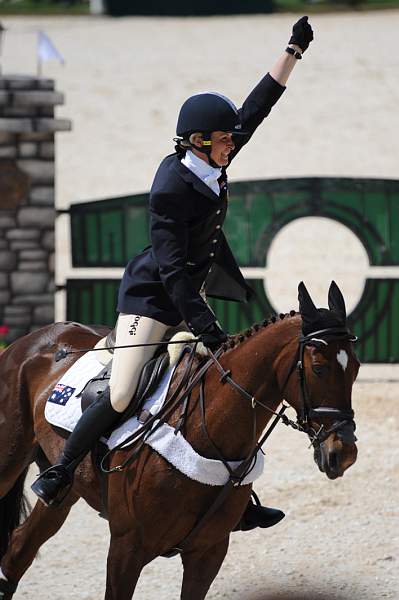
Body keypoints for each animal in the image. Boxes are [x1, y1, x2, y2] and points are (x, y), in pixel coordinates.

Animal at [0, 282, 360, 600]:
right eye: (318, 368)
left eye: (356, 368)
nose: (344, 453)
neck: (204, 429)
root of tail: (31, 340)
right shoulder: (126, 548)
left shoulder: (208, 553)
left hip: (66, 494)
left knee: (17, 551)